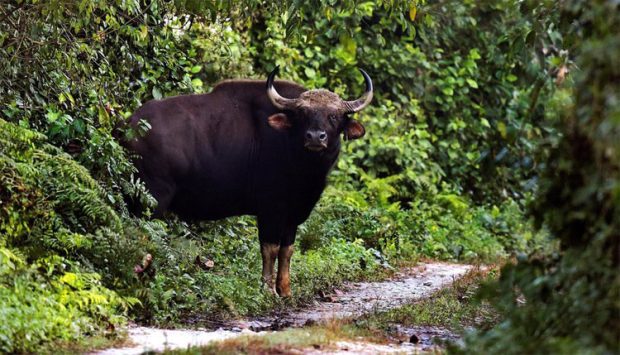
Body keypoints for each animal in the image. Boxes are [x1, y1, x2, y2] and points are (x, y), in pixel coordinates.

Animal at [122, 67, 372, 298]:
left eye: (334, 116)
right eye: (302, 114)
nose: (315, 137)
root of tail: (128, 126)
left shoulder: (292, 213)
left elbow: (287, 250)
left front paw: (285, 290)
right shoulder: (271, 209)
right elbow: (270, 249)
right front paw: (268, 290)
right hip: (151, 200)